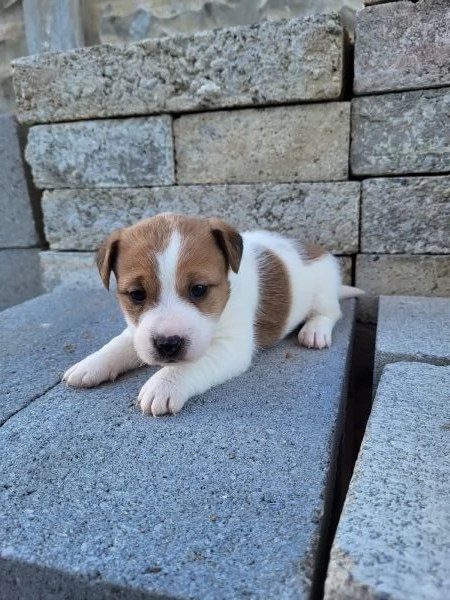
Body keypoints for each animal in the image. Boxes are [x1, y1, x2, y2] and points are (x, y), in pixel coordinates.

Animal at [63, 214, 364, 418]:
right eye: (136, 294)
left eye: (199, 289)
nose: (168, 344)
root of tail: (316, 249)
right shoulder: (138, 333)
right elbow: (119, 345)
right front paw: (92, 364)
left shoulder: (232, 347)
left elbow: (191, 364)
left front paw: (164, 383)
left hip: (323, 291)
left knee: (329, 312)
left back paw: (315, 331)